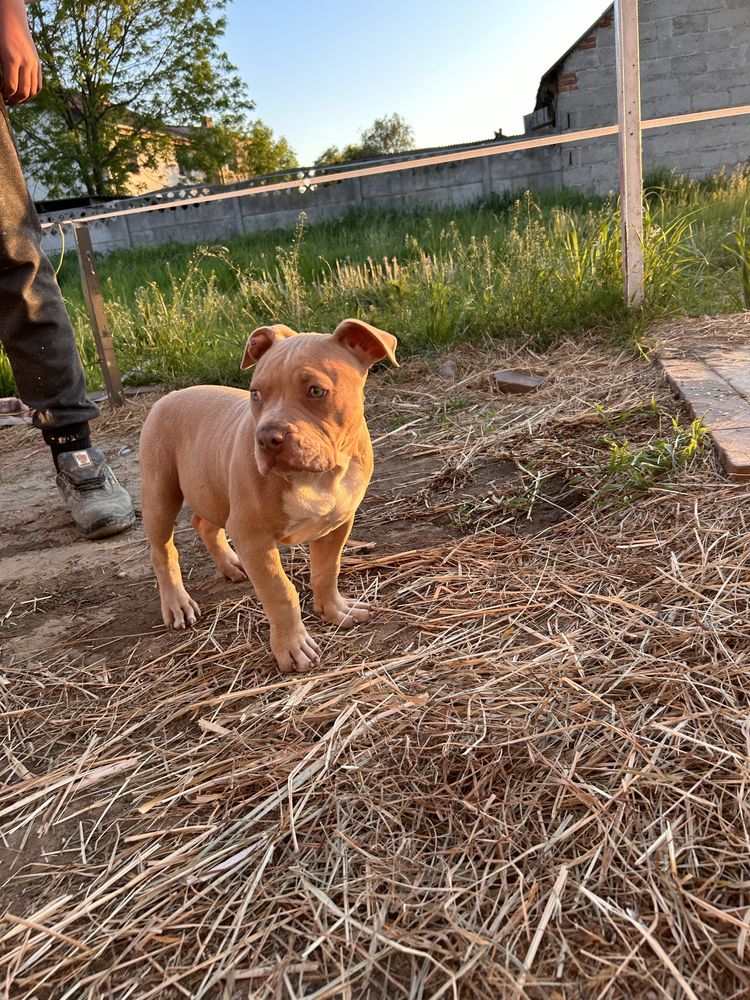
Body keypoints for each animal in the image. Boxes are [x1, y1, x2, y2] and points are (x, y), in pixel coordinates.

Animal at [141, 316, 400, 668]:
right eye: (255, 394)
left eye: (316, 391)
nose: (266, 438)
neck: (316, 476)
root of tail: (171, 395)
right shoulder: (254, 538)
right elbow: (280, 592)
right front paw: (292, 647)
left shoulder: (338, 523)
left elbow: (326, 570)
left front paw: (335, 610)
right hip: (160, 493)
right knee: (163, 550)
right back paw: (177, 602)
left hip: (213, 488)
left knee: (204, 523)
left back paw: (231, 564)